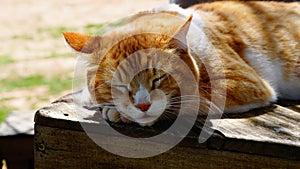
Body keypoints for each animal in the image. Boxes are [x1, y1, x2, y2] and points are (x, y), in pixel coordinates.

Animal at [62, 0, 298, 126]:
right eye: (118, 85)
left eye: (159, 78)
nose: (142, 105)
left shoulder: (244, 82)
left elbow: (190, 100)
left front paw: (121, 112)